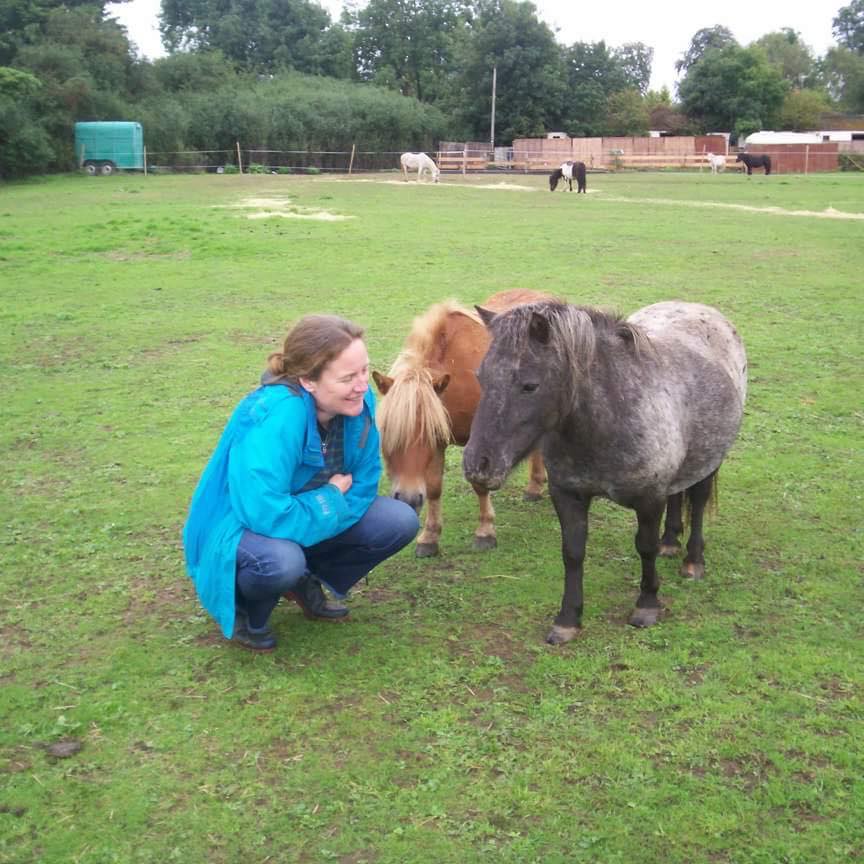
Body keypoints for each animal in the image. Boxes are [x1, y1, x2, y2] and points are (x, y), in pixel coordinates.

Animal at [372, 290, 549, 557]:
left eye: (427, 433)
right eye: (385, 433)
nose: (409, 499)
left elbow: (479, 484)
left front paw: (485, 531)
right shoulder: (439, 444)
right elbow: (434, 487)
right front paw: (429, 537)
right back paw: (534, 487)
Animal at [463, 300, 747, 645]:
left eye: (530, 386)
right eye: (481, 377)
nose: (478, 464)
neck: (608, 417)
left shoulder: (649, 499)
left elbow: (645, 547)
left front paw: (647, 605)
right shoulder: (567, 494)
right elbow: (572, 553)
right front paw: (568, 619)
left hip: (710, 461)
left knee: (699, 502)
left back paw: (693, 561)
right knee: (677, 496)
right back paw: (670, 542)